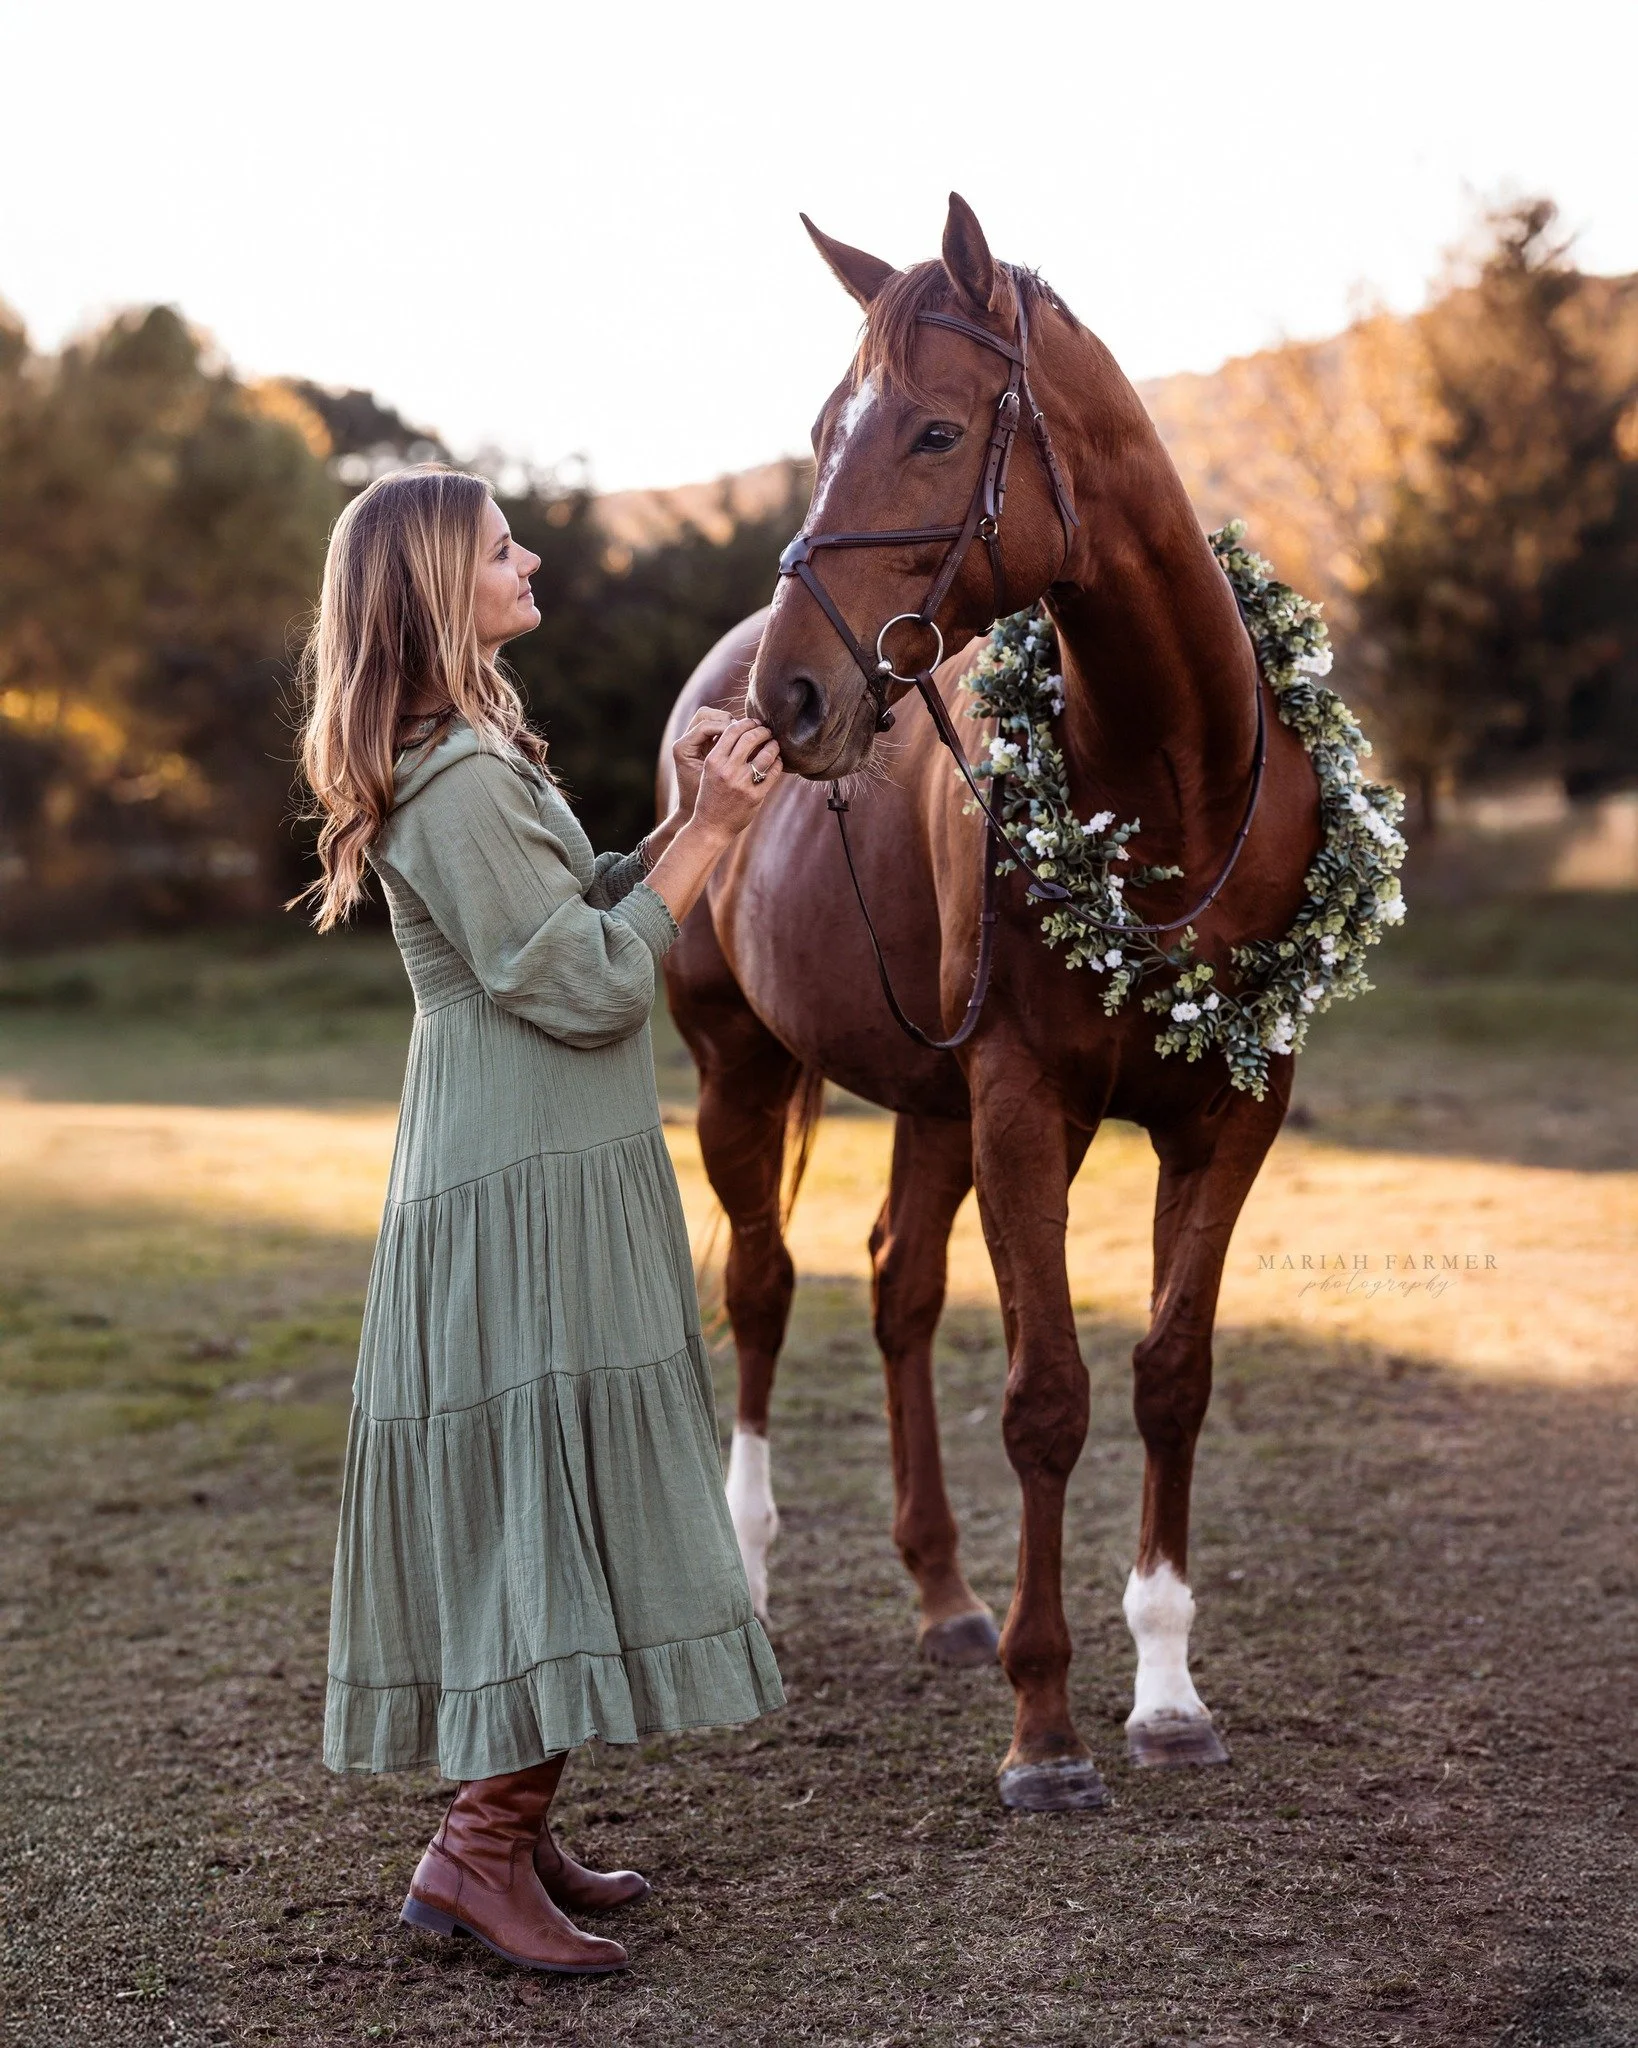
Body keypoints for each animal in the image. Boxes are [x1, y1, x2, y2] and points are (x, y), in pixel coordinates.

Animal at [659, 194, 1321, 1812]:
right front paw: (1045, 1729)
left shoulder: (1227, 1117)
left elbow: (1166, 1378)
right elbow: (1046, 1397)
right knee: (761, 1289)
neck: (1168, 798)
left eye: (937, 431)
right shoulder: (1027, 1105)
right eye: (822, 428)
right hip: (739, 1075)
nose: (791, 703)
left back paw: (945, 1597)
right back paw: (751, 1577)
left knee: (898, 1284)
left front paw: (1164, 1694)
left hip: (927, 1104)